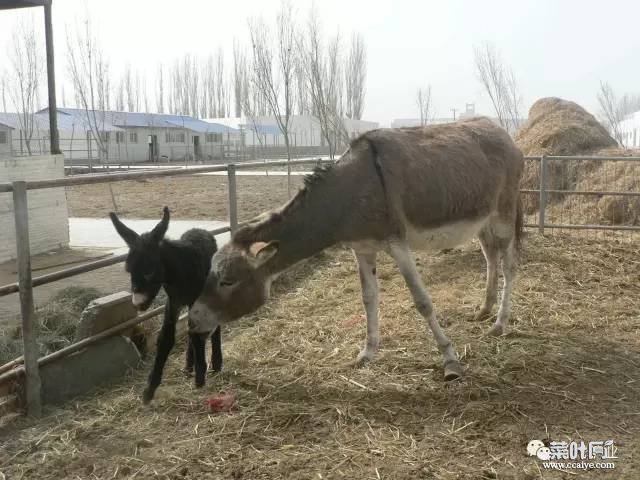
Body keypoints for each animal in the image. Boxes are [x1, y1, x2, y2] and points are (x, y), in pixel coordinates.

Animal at [109, 208, 221, 404]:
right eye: (129, 271)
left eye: (149, 271)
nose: (137, 303)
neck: (179, 274)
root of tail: (200, 229)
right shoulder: (173, 302)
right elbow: (165, 338)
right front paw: (150, 389)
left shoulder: (196, 299)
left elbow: (196, 332)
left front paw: (200, 375)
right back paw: (189, 366)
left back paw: (215, 362)